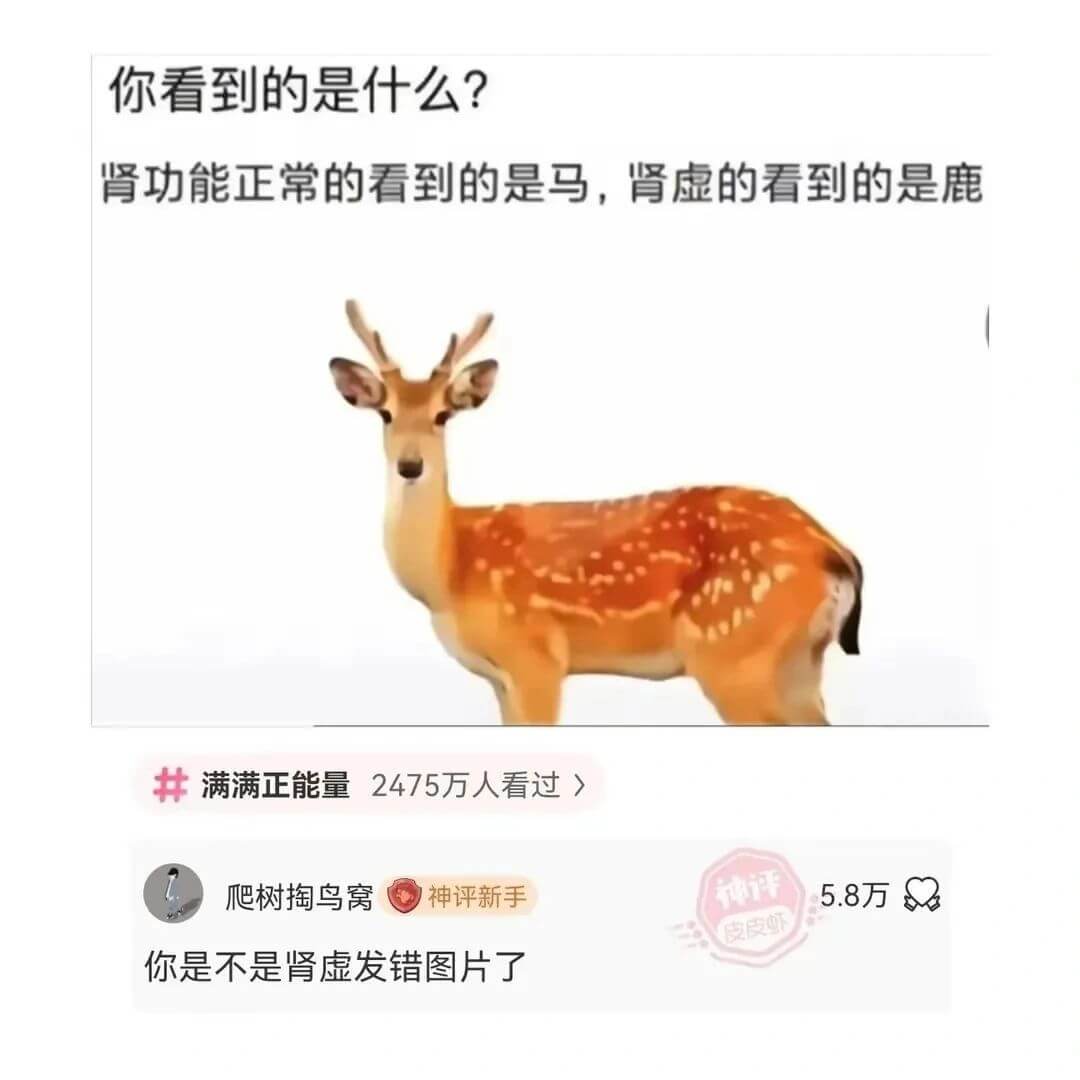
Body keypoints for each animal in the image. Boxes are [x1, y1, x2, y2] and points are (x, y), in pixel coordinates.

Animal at [330, 302, 863, 726]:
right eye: (386, 414)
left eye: (443, 414)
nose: (410, 465)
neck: (449, 573)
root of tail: (833, 549)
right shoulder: (500, 678)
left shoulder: (536, 657)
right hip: (797, 660)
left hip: (734, 650)